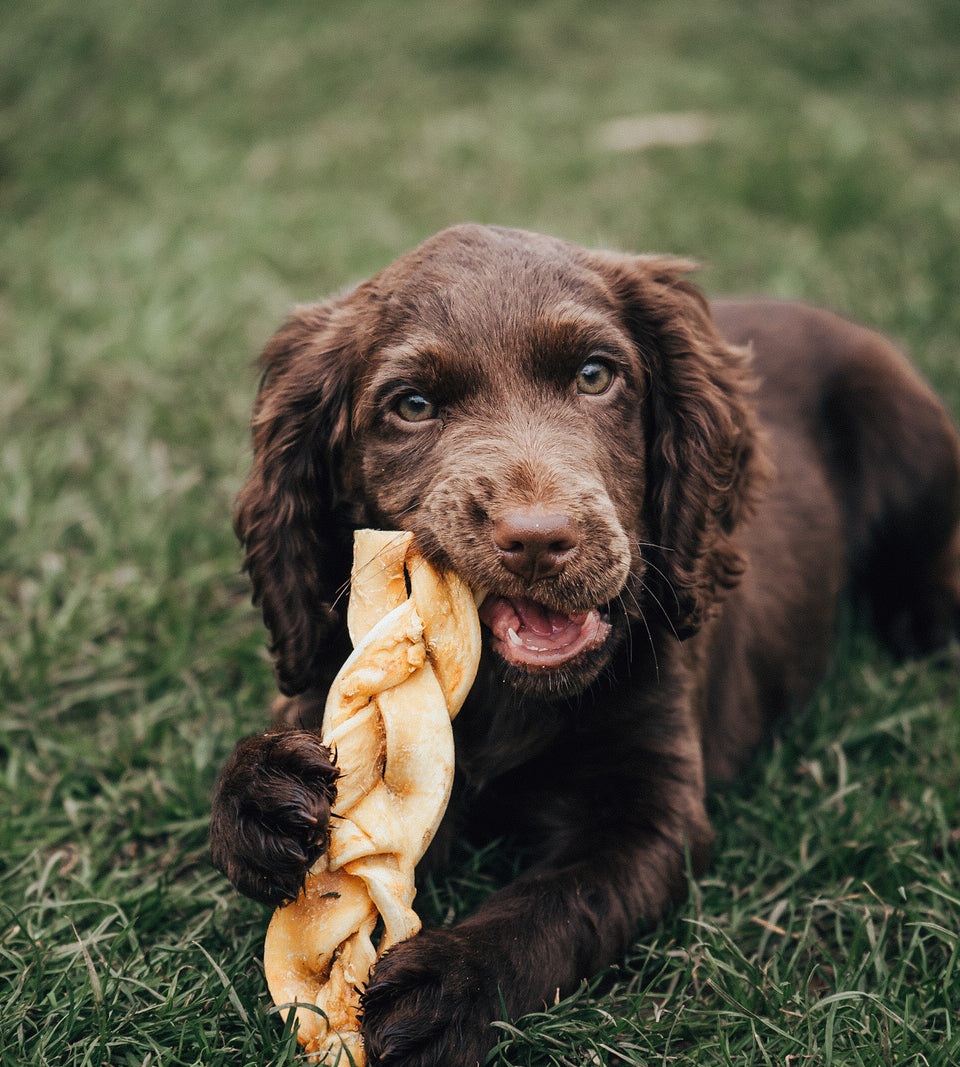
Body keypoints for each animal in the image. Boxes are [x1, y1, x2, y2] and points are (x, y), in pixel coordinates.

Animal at [212, 220, 960, 1062]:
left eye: (596, 376)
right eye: (413, 405)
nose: (539, 539)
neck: (510, 696)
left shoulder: (653, 812)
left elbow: (559, 901)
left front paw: (448, 986)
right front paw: (261, 798)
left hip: (916, 445)